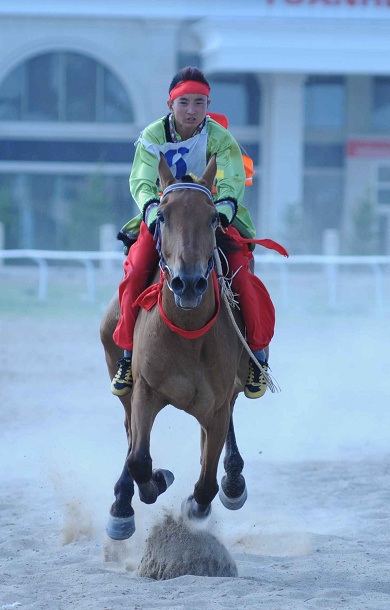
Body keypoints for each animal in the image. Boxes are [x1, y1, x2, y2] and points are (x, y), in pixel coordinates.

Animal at [100, 154, 250, 540]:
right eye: (163, 215)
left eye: (213, 217)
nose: (189, 282)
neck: (187, 334)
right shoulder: (146, 391)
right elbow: (139, 460)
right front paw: (157, 479)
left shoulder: (216, 407)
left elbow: (206, 485)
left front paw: (200, 502)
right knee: (129, 433)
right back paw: (122, 502)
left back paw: (233, 481)